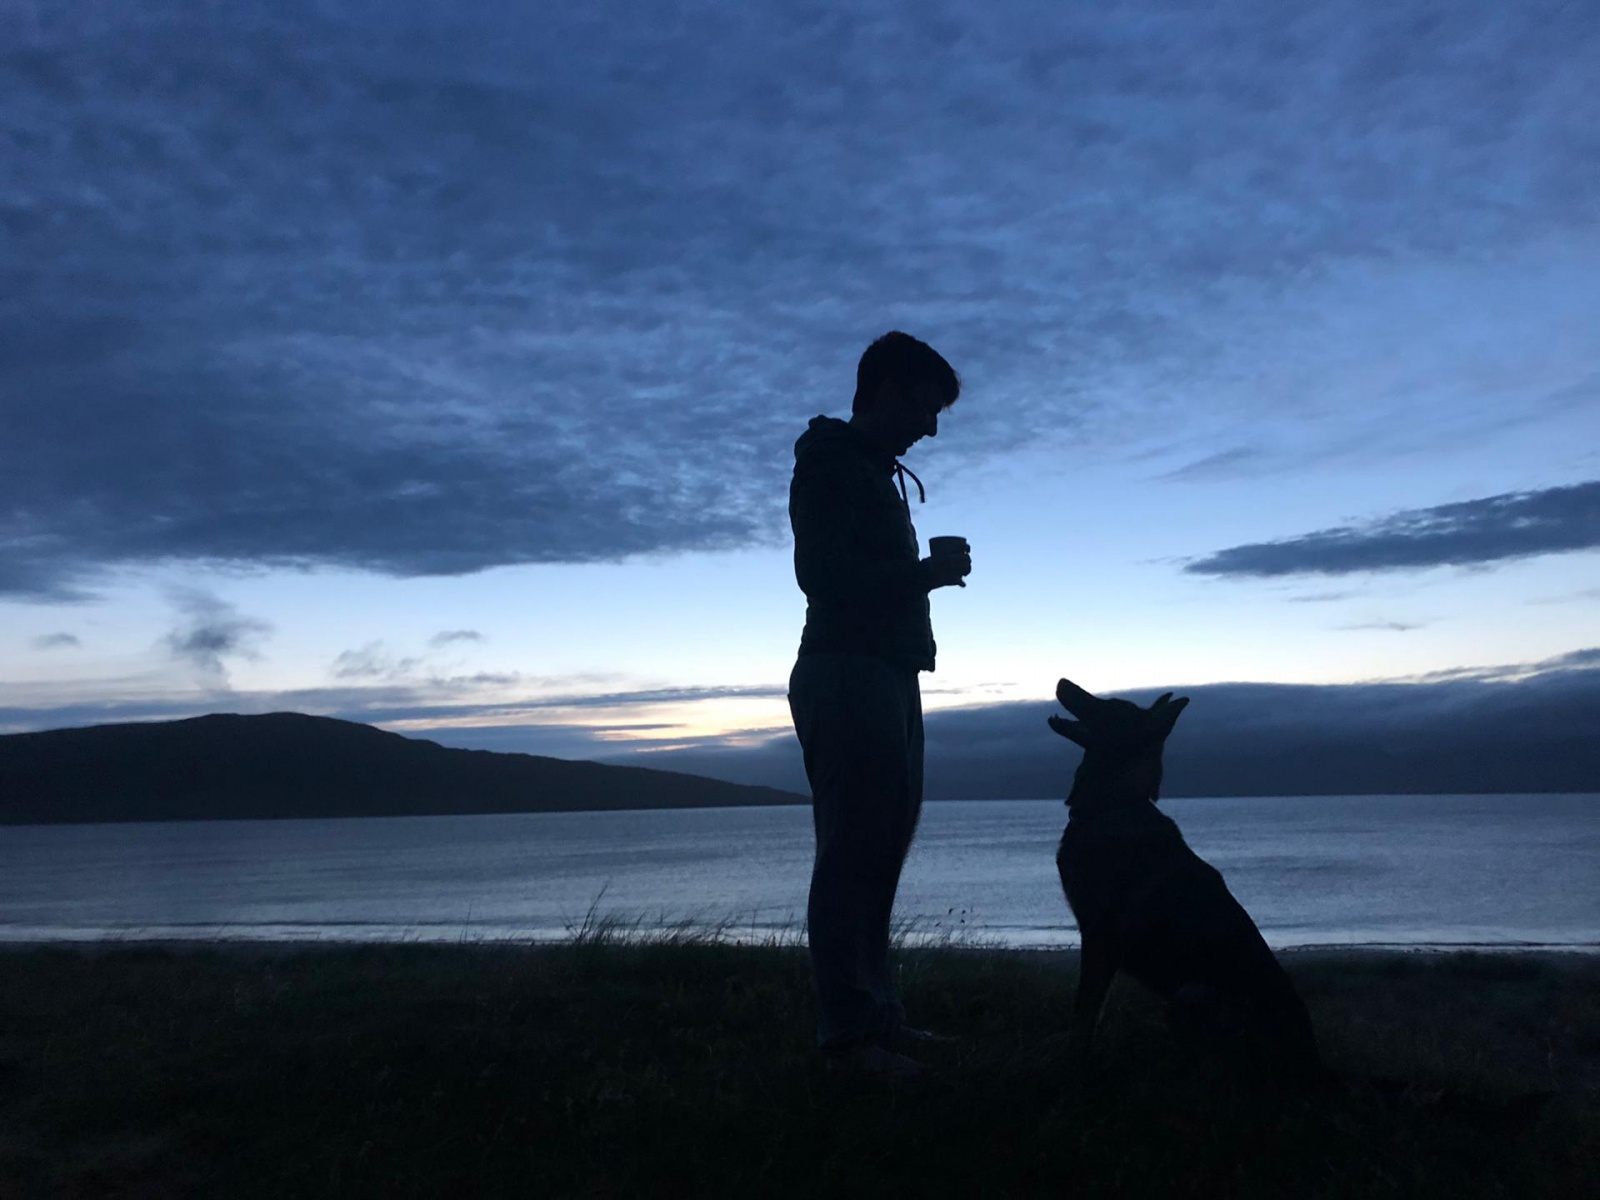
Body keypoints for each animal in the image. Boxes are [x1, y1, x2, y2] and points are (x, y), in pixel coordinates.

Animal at [1049, 678, 1324, 1081]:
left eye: (1110, 705)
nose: (1062, 682)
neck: (1114, 804)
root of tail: (1315, 1065)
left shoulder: (1099, 936)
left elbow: (1083, 1017)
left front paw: (1071, 1066)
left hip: (1191, 995)